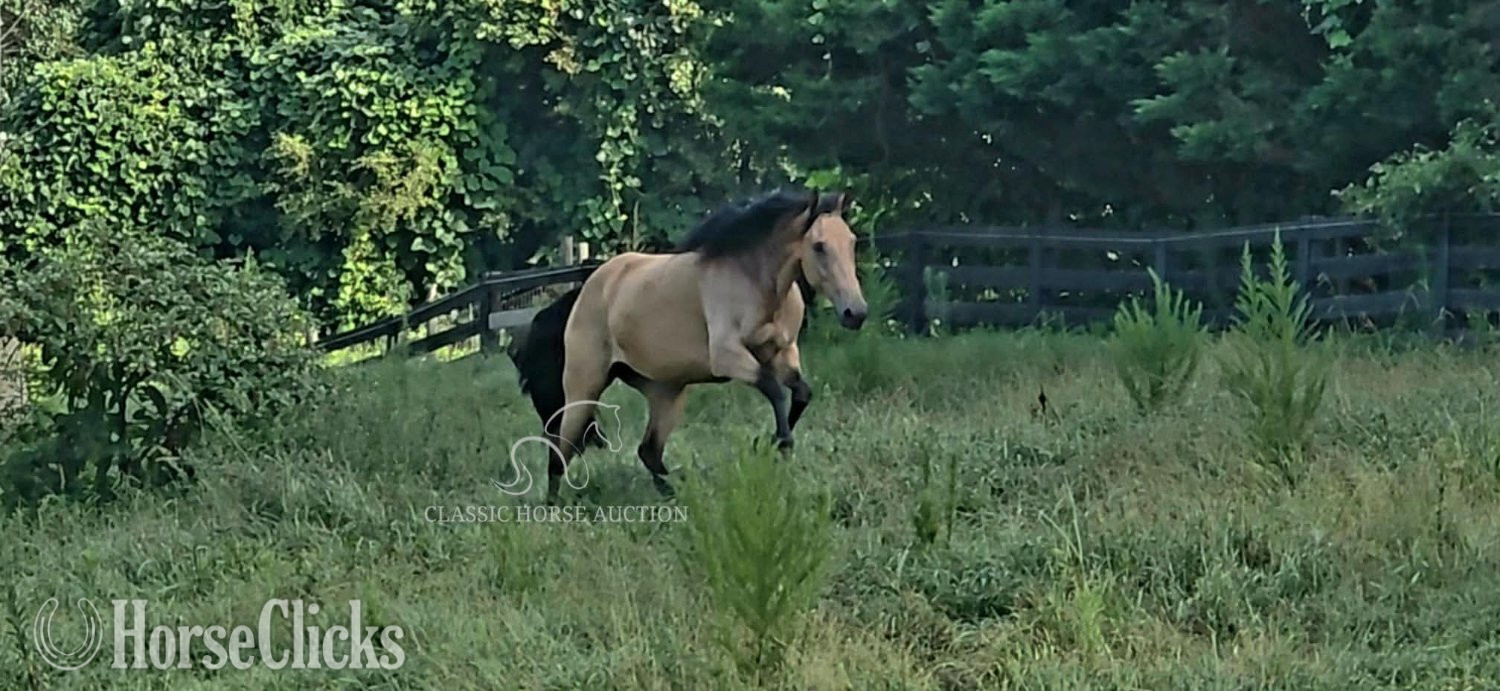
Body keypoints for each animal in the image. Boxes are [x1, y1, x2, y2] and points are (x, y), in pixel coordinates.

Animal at [508, 188, 868, 502]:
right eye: (819, 246)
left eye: (851, 242)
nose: (856, 313)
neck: (753, 282)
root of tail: (585, 292)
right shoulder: (728, 357)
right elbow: (775, 389)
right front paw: (780, 443)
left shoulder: (783, 352)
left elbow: (801, 393)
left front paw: (770, 443)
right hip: (584, 390)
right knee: (560, 450)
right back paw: (554, 508)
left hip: (665, 391)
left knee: (648, 451)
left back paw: (677, 494)